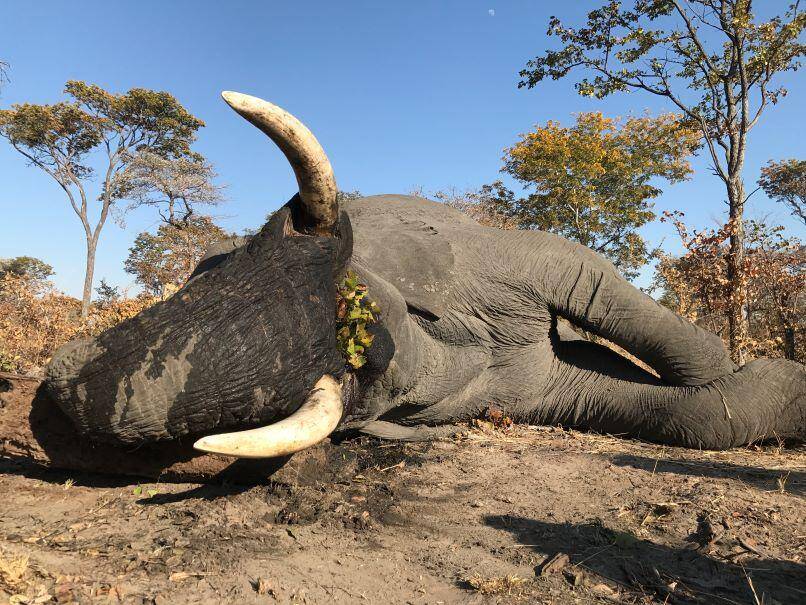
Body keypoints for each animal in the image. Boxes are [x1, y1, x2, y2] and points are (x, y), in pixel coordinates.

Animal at [40, 92, 805, 466]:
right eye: (200, 272)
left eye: (366, 318)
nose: (64, 388)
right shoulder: (521, 395)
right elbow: (638, 404)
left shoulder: (495, 260)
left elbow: (584, 273)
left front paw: (743, 372)